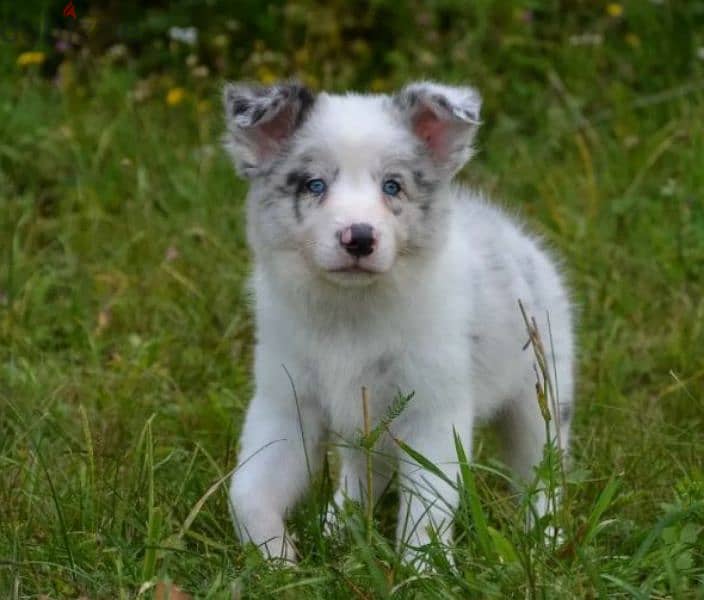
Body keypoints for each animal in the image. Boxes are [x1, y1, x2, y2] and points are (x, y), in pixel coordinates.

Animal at [223, 82, 576, 564]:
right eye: (315, 184)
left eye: (392, 186)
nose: (359, 238)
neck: (350, 313)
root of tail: (515, 235)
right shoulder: (286, 401)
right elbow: (247, 492)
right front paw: (275, 560)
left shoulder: (431, 410)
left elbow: (426, 507)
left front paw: (422, 569)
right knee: (362, 469)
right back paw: (340, 525)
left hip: (539, 393)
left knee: (544, 472)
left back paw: (546, 540)